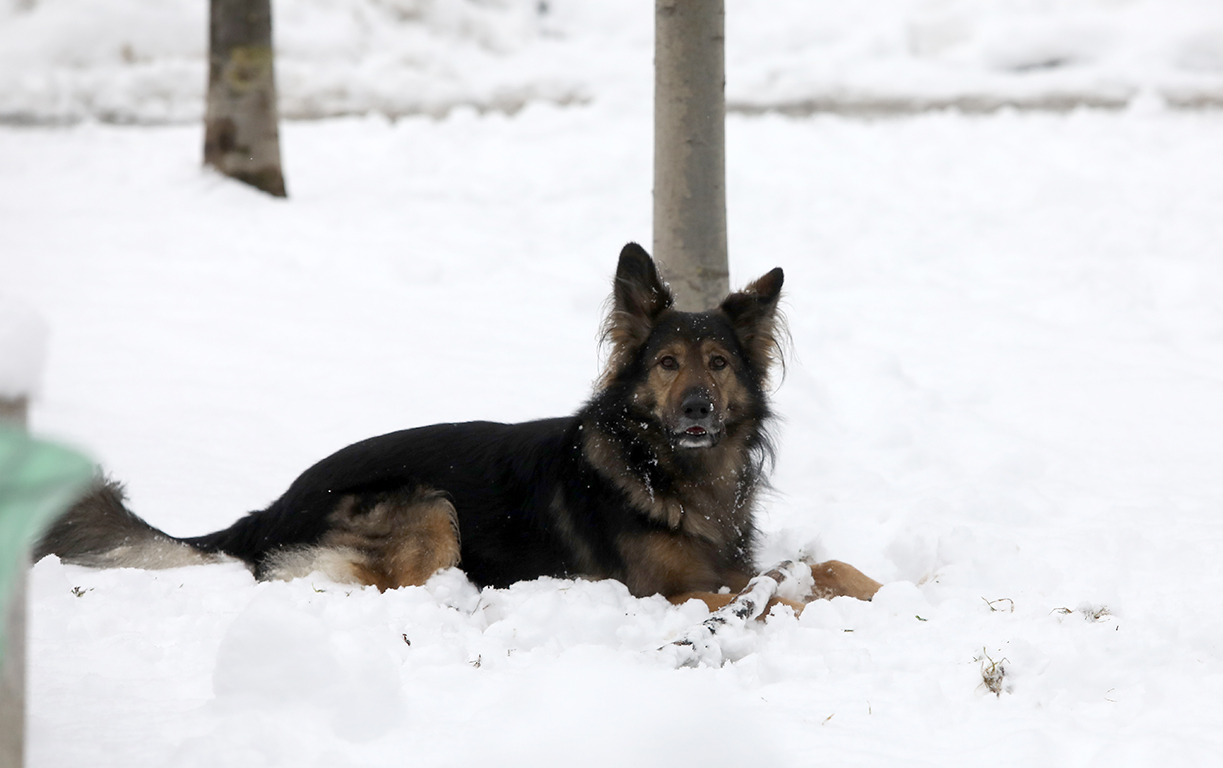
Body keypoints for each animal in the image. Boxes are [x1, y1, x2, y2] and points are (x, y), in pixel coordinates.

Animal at [33, 243, 880, 613]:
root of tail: (269, 509)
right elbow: (779, 584)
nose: (698, 409)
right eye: (667, 364)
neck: (666, 468)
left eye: (719, 362)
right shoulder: (667, 591)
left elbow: (824, 565)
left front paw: (895, 590)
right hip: (424, 505)